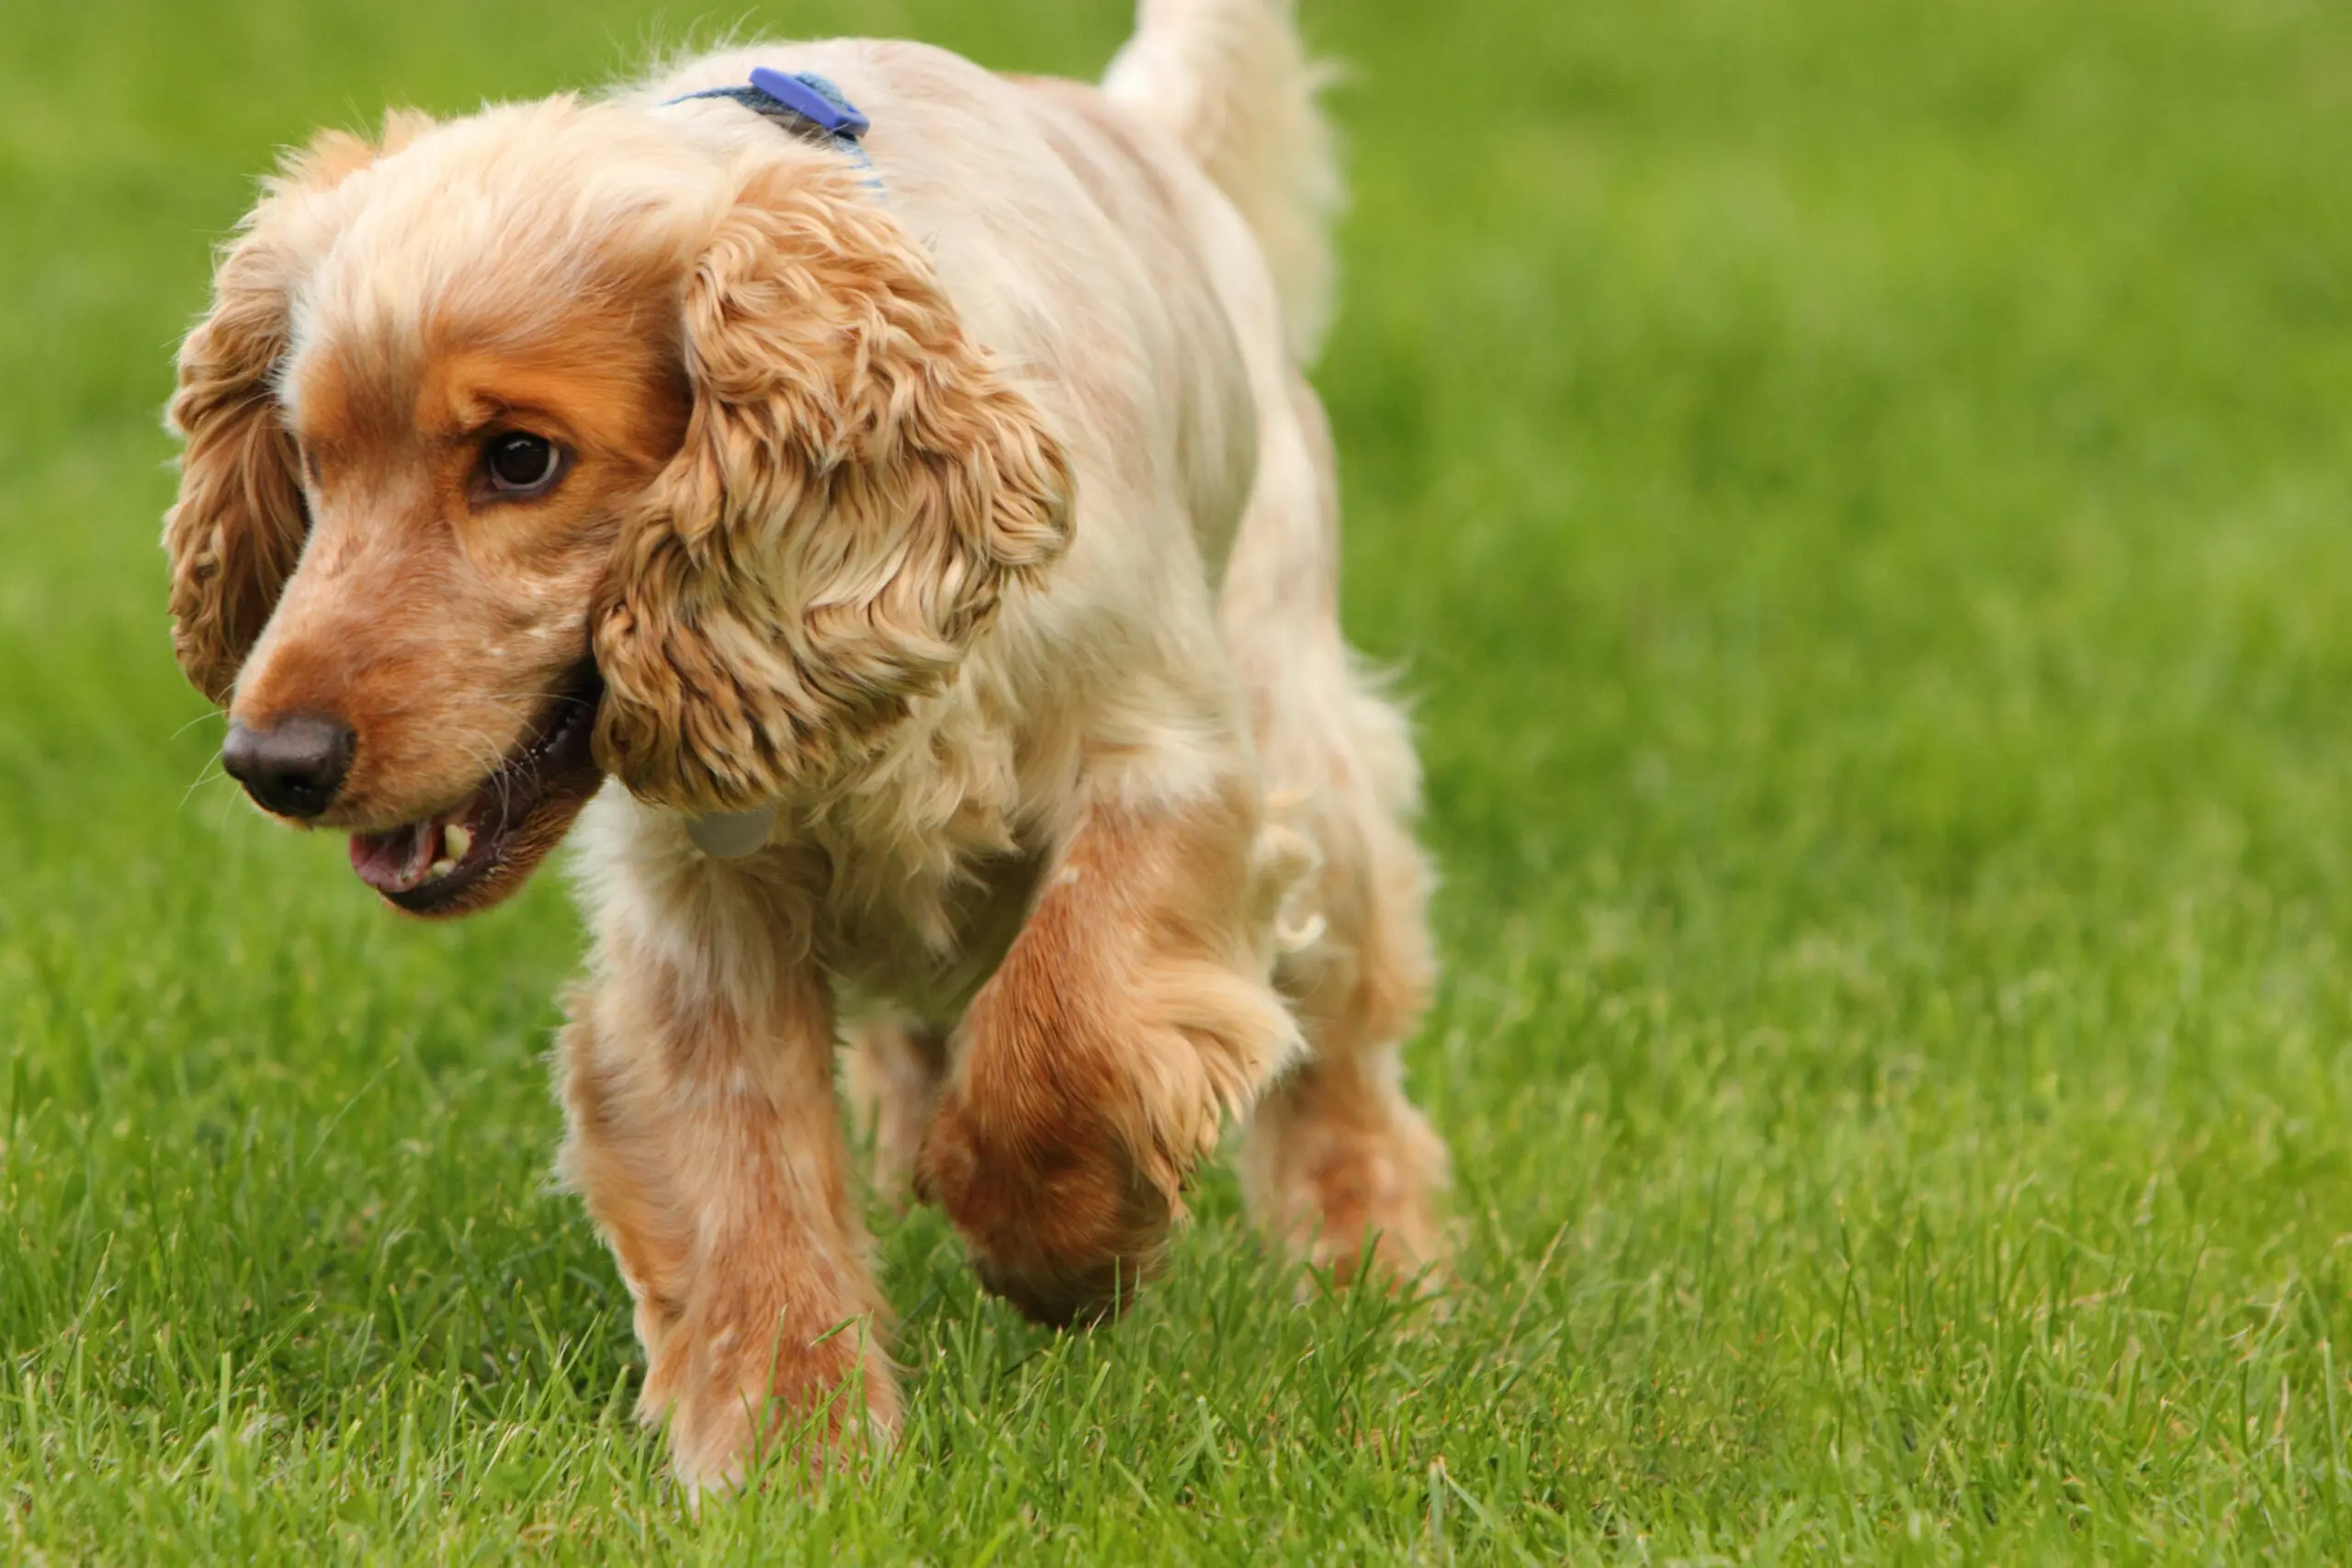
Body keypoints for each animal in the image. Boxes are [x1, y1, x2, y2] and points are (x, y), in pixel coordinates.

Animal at [165, 0, 1439, 1485]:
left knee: (1340, 1057)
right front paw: (793, 1455)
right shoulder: (703, 904)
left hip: (1305, 727)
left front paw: (1063, 1248)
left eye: (522, 458)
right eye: (309, 457)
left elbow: (1058, 1033)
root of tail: (1145, 129)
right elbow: (747, 1178)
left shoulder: (1172, 765)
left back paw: (1379, 1276)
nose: (274, 762)